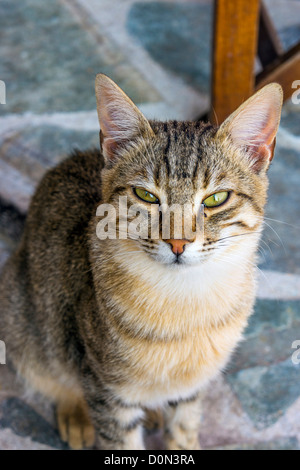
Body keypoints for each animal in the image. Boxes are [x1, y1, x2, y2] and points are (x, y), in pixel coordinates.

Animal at [0, 75, 282, 450]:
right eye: (146, 195)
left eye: (216, 199)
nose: (178, 243)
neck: (185, 303)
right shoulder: (106, 389)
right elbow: (119, 438)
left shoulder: (192, 387)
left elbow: (184, 430)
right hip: (30, 328)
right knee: (54, 375)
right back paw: (75, 414)